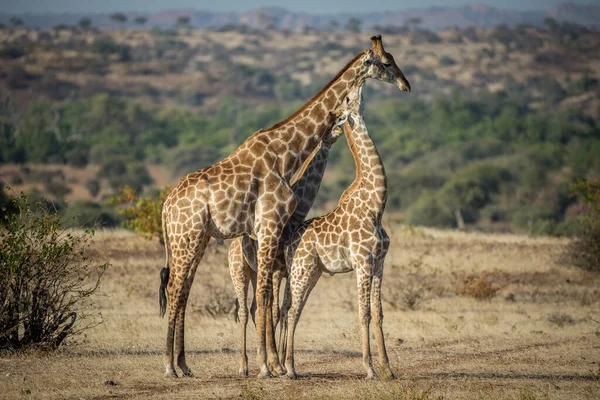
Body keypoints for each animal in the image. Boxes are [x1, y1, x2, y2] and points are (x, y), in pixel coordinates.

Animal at [229, 113, 344, 378]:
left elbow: (282, 309)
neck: (295, 215)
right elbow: (275, 309)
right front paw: (277, 363)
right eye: (330, 129)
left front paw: (280, 362)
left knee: (254, 308)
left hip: (255, 271)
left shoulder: (283, 270)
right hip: (239, 270)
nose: (340, 129)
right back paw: (243, 366)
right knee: (244, 310)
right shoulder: (278, 269)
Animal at [282, 80, 394, 378]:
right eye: (347, 98)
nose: (358, 82)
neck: (376, 205)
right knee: (291, 311)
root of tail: (288, 243)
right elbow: (363, 313)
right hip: (302, 269)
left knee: (292, 309)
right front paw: (369, 369)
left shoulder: (379, 263)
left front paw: (389, 369)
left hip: (314, 272)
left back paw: (288, 365)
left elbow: (379, 314)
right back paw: (289, 368)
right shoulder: (362, 262)